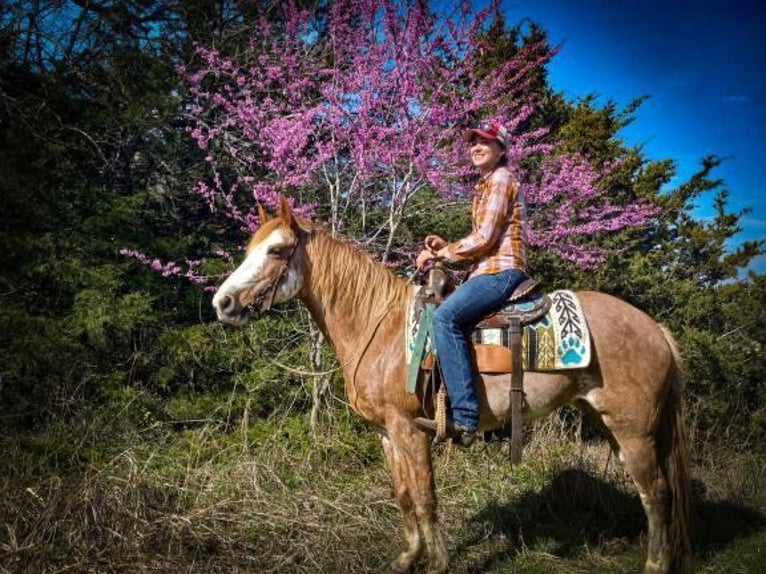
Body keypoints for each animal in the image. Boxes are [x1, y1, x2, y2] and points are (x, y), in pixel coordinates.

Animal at [213, 198, 692, 574]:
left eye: (276, 250)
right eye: (249, 248)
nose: (223, 303)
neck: (380, 327)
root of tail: (655, 328)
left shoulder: (410, 429)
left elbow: (426, 498)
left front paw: (438, 564)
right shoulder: (387, 433)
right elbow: (404, 497)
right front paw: (408, 558)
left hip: (634, 431)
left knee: (656, 493)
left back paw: (655, 564)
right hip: (614, 424)